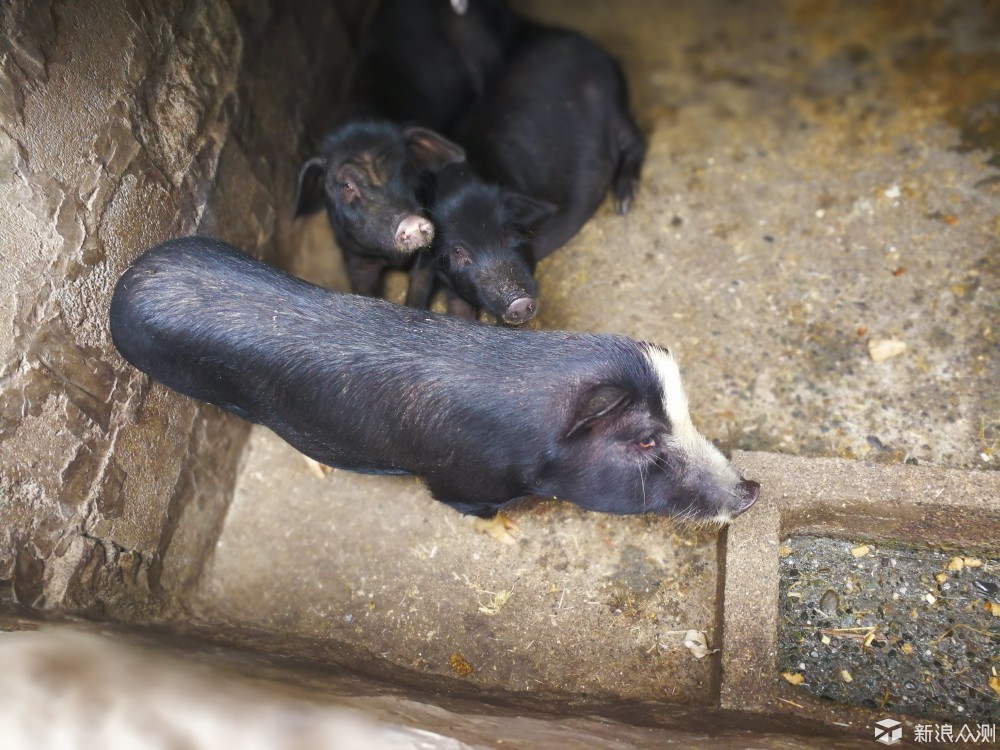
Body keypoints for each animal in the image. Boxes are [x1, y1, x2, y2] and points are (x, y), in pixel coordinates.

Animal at [111, 236, 756, 528]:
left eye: (687, 417)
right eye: (644, 440)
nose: (751, 489)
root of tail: (128, 280)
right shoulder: (458, 481)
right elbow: (472, 509)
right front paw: (507, 532)